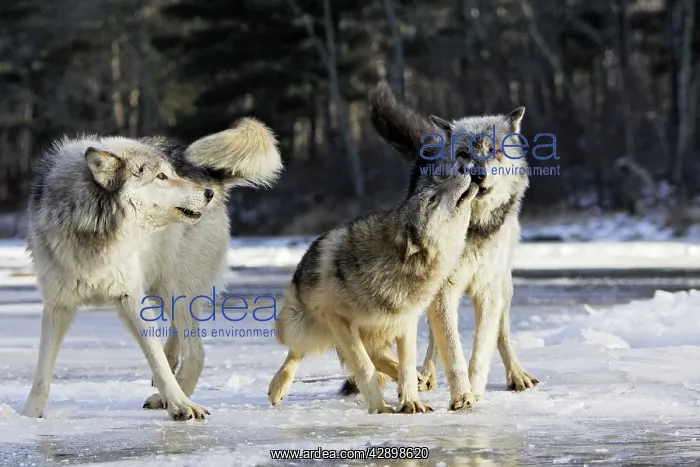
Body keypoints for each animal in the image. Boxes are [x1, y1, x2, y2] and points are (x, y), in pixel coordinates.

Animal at [21, 118, 282, 421]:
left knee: (196, 352)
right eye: (160, 177)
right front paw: (28, 417)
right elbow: (42, 373)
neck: (95, 232)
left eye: (171, 174)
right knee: (180, 338)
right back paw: (168, 373)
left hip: (174, 289)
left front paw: (180, 405)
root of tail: (208, 173)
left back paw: (171, 393)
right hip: (161, 288)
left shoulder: (131, 298)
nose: (207, 193)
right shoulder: (57, 305)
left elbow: (155, 358)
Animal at [267, 160, 479, 414]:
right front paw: (380, 408)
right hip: (305, 328)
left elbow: (405, 365)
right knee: (295, 352)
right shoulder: (338, 320)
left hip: (376, 331)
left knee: (382, 357)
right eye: (432, 199)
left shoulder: (406, 320)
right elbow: (363, 365)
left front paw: (410, 401)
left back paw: (416, 379)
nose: (464, 168)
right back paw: (278, 387)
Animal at [339, 82, 539, 410]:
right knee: (433, 340)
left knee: (503, 333)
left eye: (494, 151)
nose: (478, 175)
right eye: (463, 154)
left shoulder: (487, 290)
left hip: (504, 286)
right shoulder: (444, 290)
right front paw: (462, 395)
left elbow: (482, 348)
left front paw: (476, 390)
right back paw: (426, 376)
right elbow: (452, 350)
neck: (472, 226)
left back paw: (517, 375)